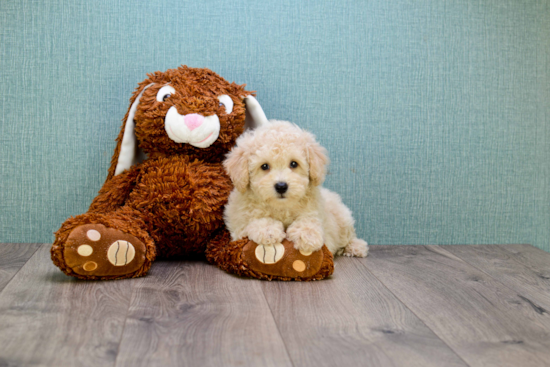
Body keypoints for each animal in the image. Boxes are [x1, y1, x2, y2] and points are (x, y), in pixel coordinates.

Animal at [222, 119, 368, 258]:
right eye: (264, 166)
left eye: (294, 164)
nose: (281, 186)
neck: (281, 208)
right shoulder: (239, 225)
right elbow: (254, 221)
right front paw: (268, 230)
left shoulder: (314, 212)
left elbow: (308, 220)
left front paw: (307, 235)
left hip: (343, 220)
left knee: (348, 237)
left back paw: (357, 247)